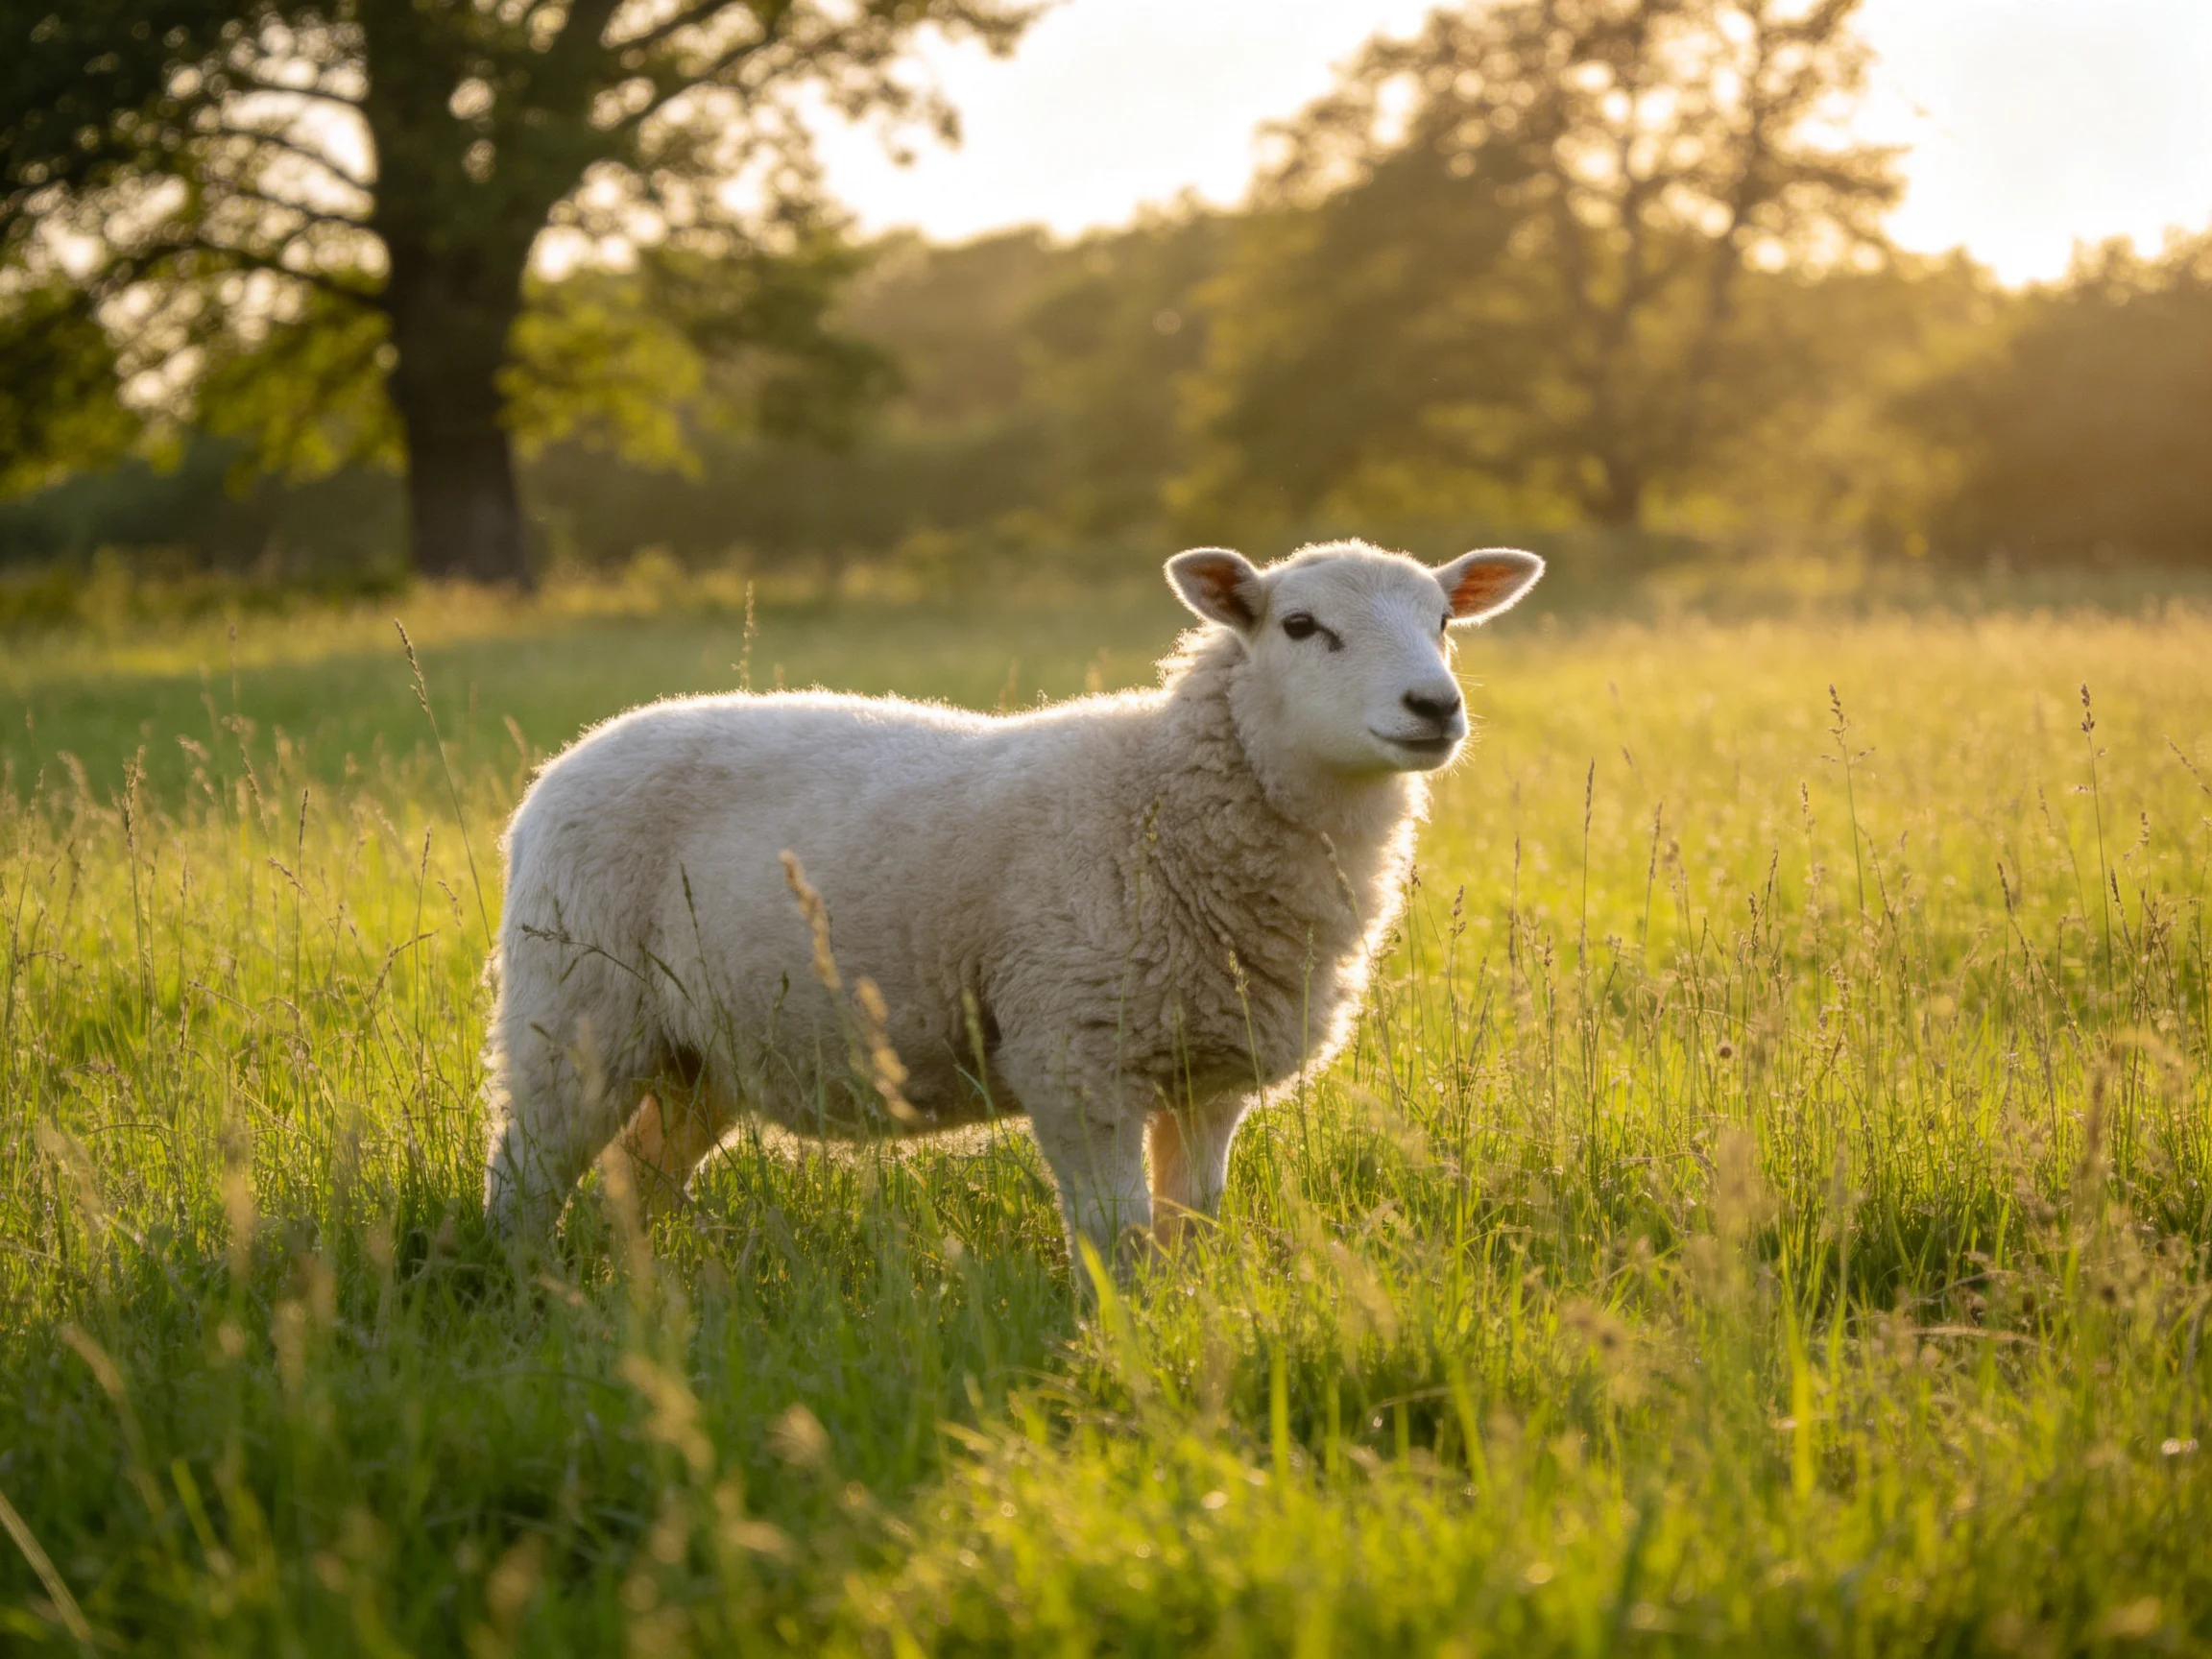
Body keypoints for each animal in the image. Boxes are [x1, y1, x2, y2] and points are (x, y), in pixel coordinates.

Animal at [481, 539, 1543, 1264]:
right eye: (1299, 626)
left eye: (1445, 622)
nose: (1434, 707)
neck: (1160, 799)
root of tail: (559, 769)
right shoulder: (1076, 1053)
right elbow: (1116, 1233)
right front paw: (1123, 1344)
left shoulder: (1209, 1075)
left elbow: (1188, 1222)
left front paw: (1183, 1322)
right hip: (574, 1007)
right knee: (527, 1173)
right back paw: (522, 1289)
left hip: (697, 1052)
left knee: (631, 1176)